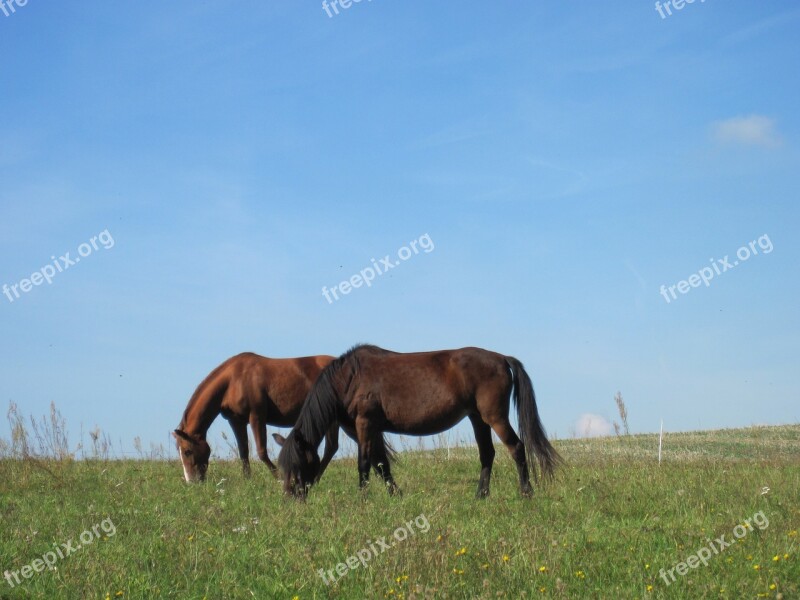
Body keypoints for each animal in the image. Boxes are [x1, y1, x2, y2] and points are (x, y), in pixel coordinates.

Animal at [173, 352, 340, 482]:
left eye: (187, 451)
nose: (191, 481)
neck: (234, 380)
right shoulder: (236, 421)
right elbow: (243, 452)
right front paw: (247, 479)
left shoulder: (256, 417)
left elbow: (261, 452)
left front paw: (279, 477)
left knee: (331, 448)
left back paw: (315, 478)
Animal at [278, 344, 560, 500]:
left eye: (299, 463)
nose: (292, 497)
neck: (350, 379)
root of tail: (502, 358)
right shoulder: (371, 429)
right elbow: (382, 464)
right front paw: (395, 495)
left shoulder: (365, 424)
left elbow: (365, 463)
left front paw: (363, 499)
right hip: (477, 418)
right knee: (487, 454)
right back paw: (481, 495)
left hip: (494, 417)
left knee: (517, 448)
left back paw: (526, 493)